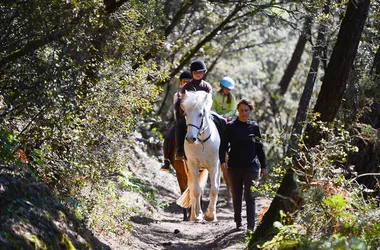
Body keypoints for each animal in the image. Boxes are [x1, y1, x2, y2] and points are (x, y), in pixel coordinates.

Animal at [175, 90, 220, 221]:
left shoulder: (214, 165)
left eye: (200, 114)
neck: (201, 142)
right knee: (192, 187)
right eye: (186, 114)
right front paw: (198, 214)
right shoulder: (193, 165)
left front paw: (210, 215)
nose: (190, 138)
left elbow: (214, 189)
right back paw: (193, 215)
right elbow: (196, 190)